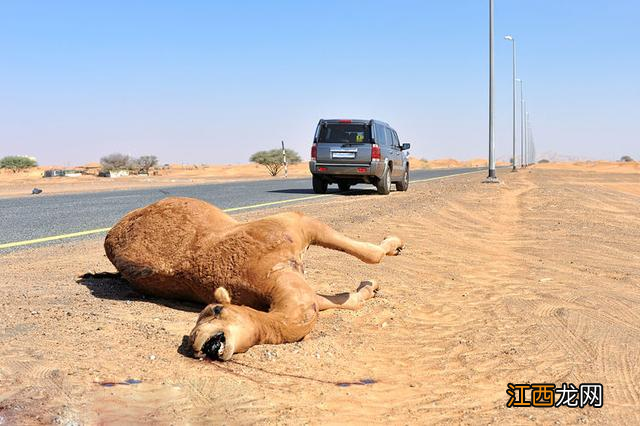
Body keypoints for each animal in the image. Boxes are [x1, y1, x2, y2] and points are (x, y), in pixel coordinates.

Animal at [105, 196, 404, 360]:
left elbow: (369, 259)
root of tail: (110, 234)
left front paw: (390, 253)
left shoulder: (296, 225)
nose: (198, 343)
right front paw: (373, 282)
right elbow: (347, 294)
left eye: (216, 310)